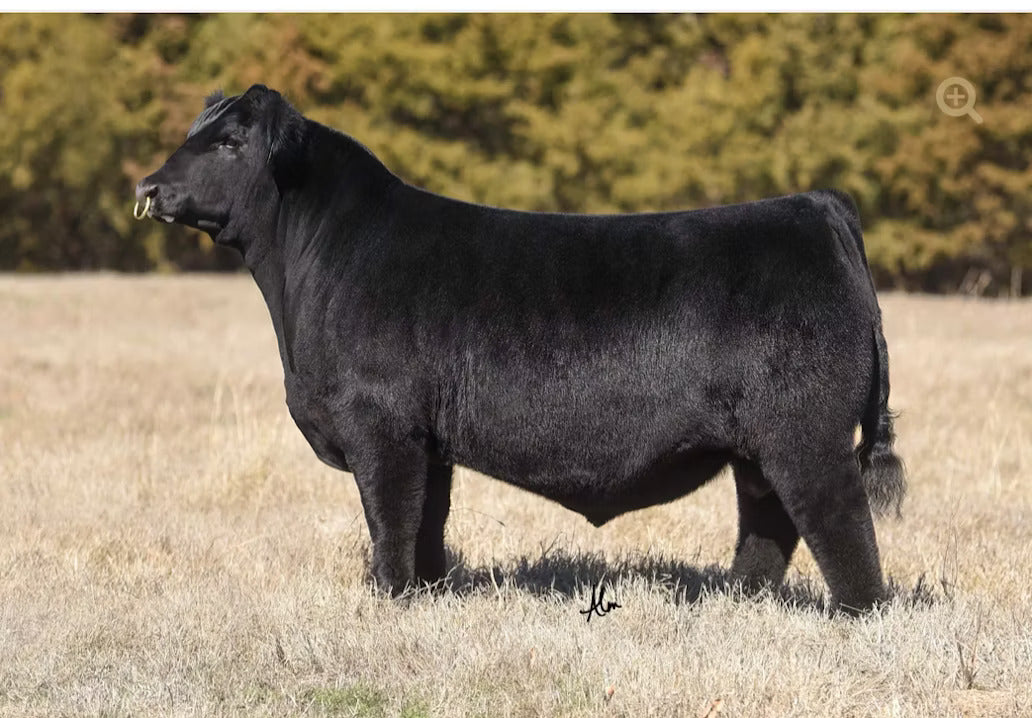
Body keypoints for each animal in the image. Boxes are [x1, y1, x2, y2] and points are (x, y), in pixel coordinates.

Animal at [135, 84, 905, 613]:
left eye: (230, 143)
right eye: (196, 131)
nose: (149, 184)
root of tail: (816, 206)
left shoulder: (381, 426)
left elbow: (390, 519)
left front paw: (390, 599)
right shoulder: (428, 440)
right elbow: (427, 521)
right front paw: (428, 593)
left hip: (805, 434)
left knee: (838, 520)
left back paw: (858, 614)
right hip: (759, 445)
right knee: (768, 523)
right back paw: (736, 601)